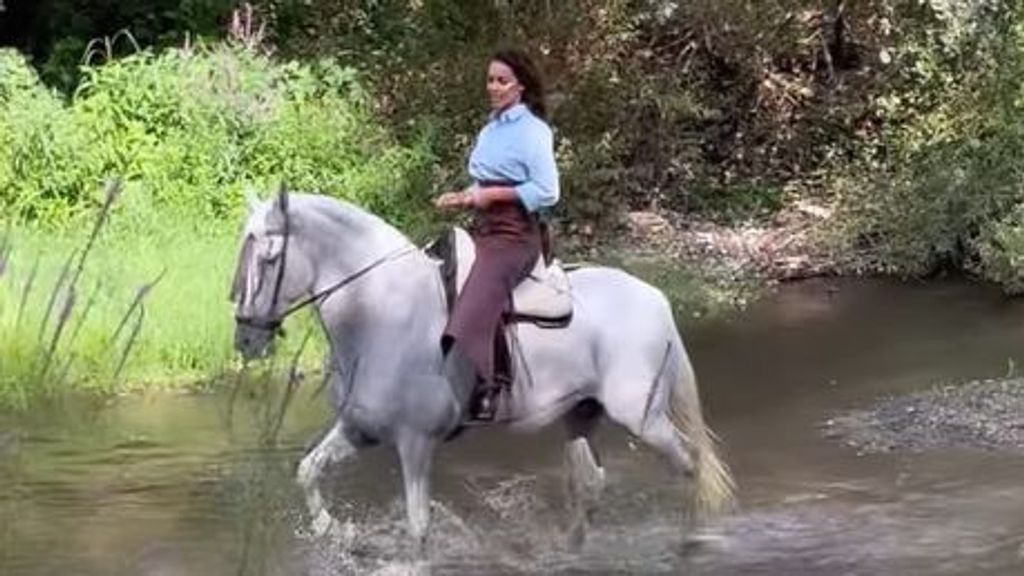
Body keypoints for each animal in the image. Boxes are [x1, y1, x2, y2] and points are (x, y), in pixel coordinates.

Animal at [230, 190, 737, 553]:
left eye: (269, 259)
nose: (246, 339)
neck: (381, 314)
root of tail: (656, 298)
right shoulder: (359, 429)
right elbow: (308, 472)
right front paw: (338, 533)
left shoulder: (416, 442)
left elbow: (418, 527)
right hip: (581, 414)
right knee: (592, 484)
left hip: (642, 418)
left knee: (689, 465)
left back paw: (692, 539)